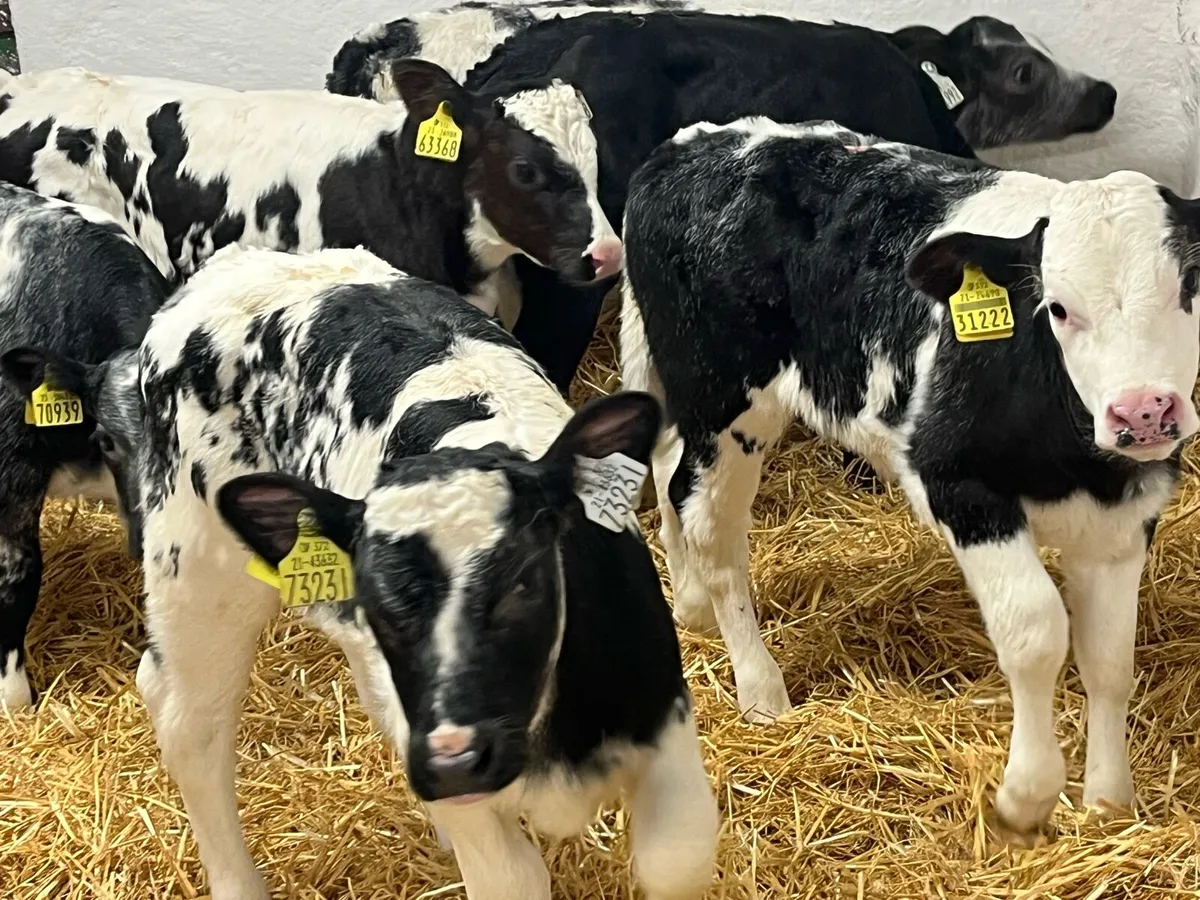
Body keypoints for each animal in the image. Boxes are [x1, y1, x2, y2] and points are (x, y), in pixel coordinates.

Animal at [3, 245, 720, 900]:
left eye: (524, 579)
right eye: (384, 602)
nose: (453, 759)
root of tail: (228, 266)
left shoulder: (664, 719)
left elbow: (677, 859)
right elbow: (515, 878)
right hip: (197, 562)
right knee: (187, 720)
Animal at [618, 117, 1200, 836]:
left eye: (1189, 286)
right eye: (1059, 308)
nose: (1144, 410)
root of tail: (691, 143)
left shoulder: (1125, 516)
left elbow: (1111, 659)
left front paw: (1109, 800)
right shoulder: (958, 486)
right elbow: (1036, 630)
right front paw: (1027, 795)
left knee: (671, 472)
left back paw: (692, 608)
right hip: (723, 399)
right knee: (708, 525)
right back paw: (760, 690)